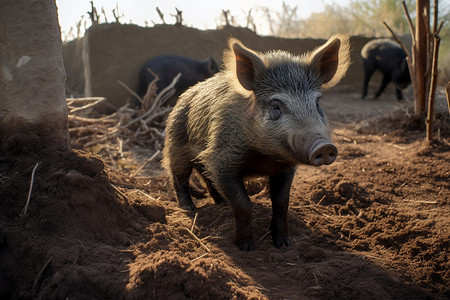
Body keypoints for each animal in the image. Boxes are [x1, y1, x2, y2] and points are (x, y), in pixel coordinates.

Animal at [163, 35, 352, 251]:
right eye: (276, 106)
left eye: (317, 103)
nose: (324, 147)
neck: (265, 156)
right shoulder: (221, 160)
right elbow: (244, 204)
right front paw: (245, 247)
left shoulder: (285, 169)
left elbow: (281, 203)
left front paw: (283, 245)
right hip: (175, 144)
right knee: (179, 177)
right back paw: (189, 208)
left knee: (206, 177)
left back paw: (221, 204)